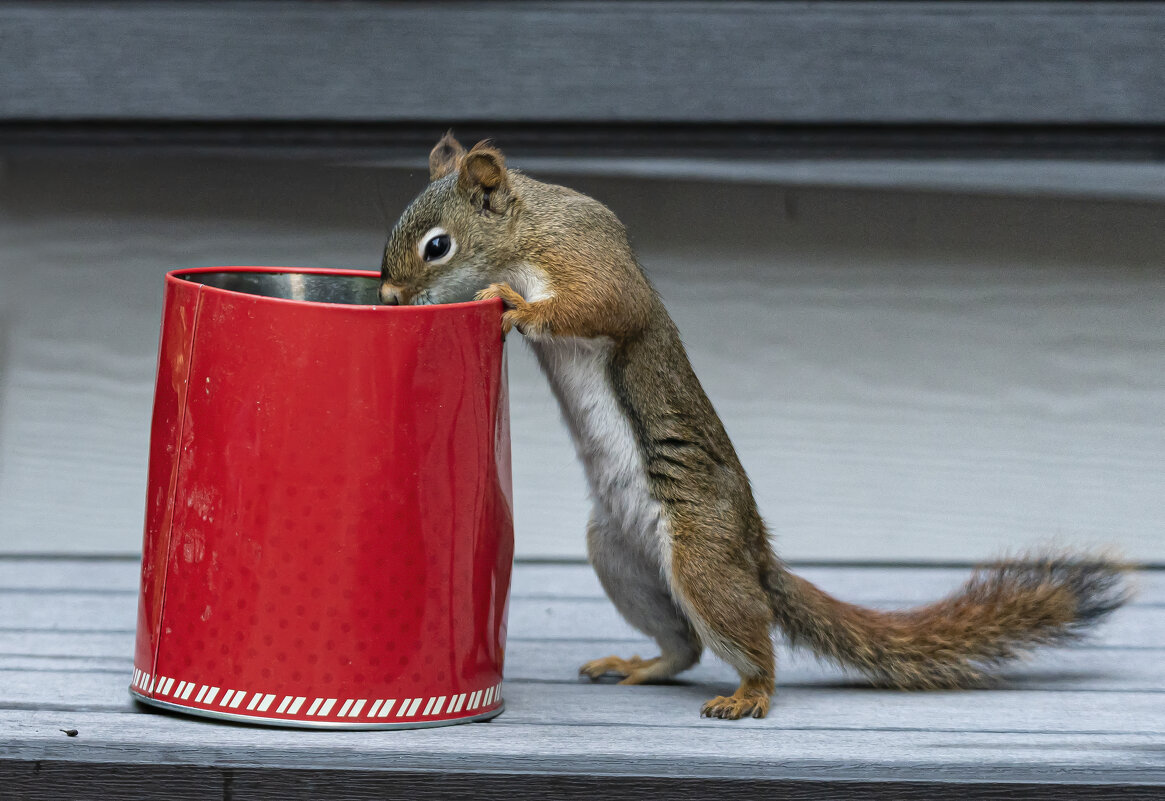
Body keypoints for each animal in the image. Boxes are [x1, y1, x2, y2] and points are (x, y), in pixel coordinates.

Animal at [379, 134, 1127, 721]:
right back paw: (640, 664)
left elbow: (603, 305)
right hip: (620, 558)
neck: (525, 232)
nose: (386, 297)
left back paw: (750, 694)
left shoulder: (585, 258)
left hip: (702, 562)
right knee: (684, 646)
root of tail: (754, 551)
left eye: (438, 246)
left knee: (752, 642)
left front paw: (509, 302)